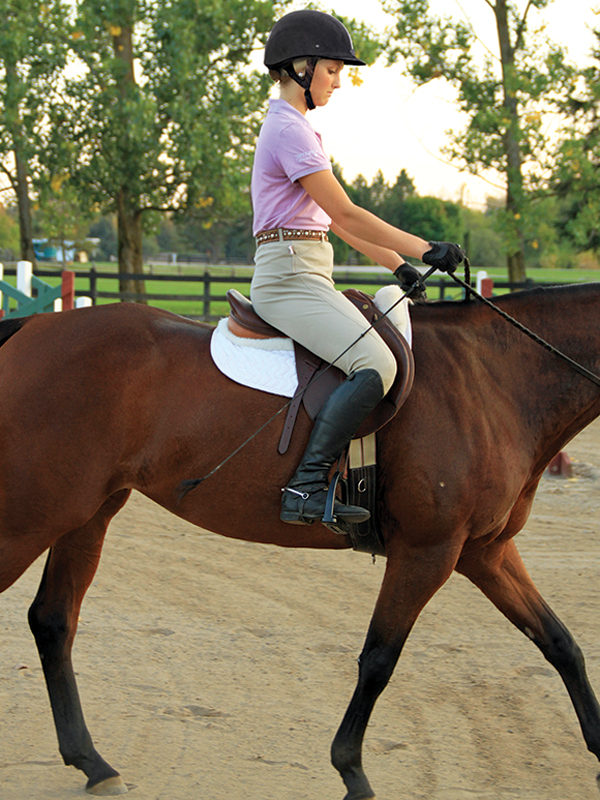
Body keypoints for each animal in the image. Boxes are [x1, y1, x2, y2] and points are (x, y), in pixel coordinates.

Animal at [1, 282, 600, 800]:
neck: (493, 379)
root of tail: (33, 326)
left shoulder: (484, 551)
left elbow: (560, 643)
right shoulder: (428, 552)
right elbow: (379, 658)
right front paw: (351, 770)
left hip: (86, 514)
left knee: (53, 621)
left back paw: (93, 763)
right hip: (32, 516)